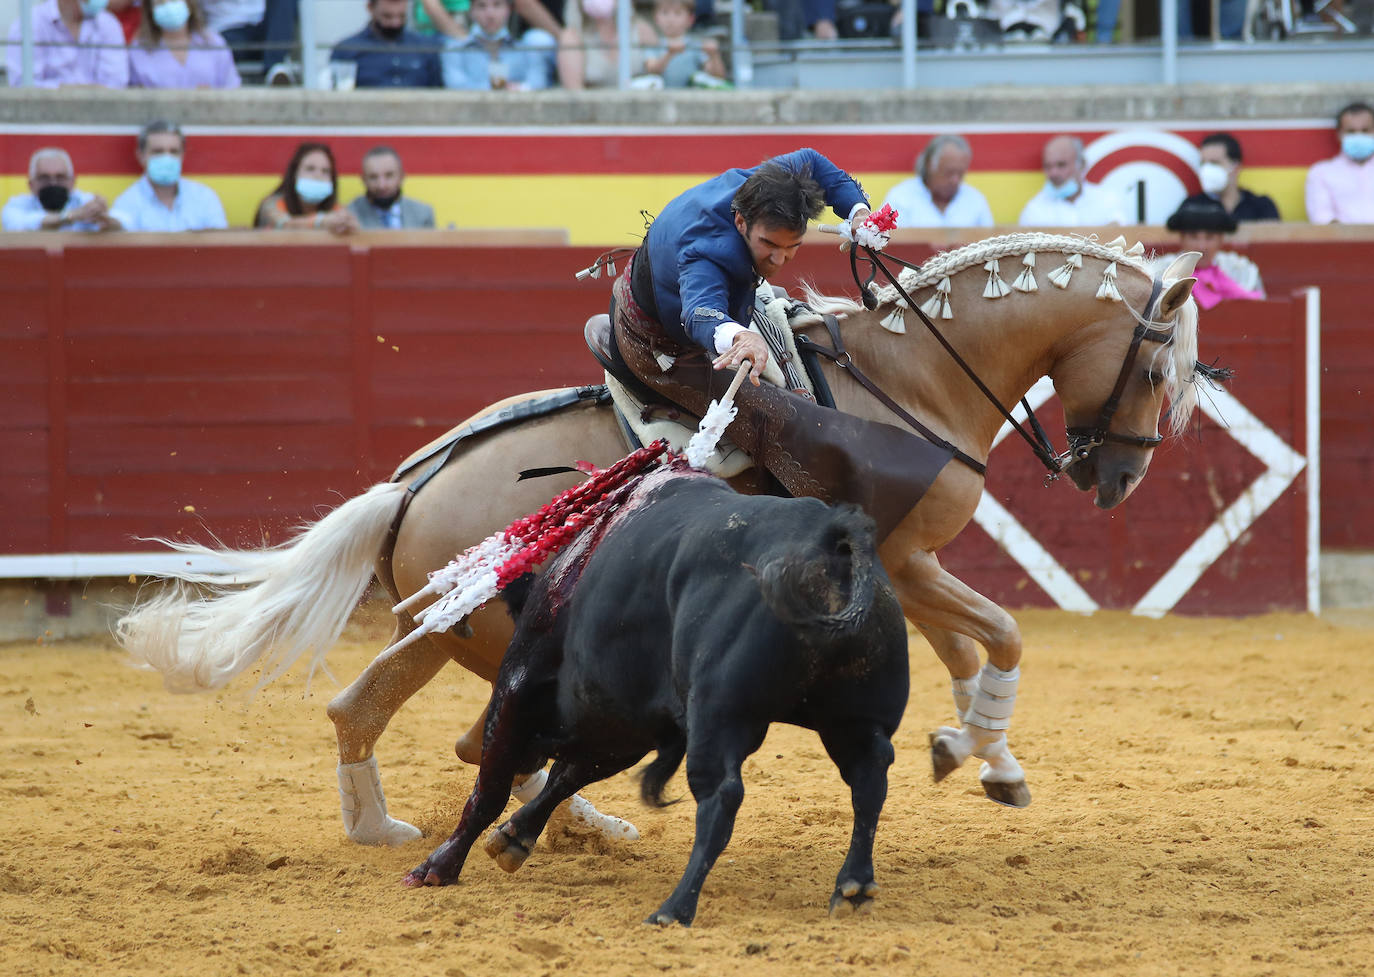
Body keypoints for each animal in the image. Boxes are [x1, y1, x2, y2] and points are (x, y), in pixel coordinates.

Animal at [118, 234, 1198, 846]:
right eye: (1156, 371)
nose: (1120, 477)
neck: (912, 380)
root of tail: (406, 488)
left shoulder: (911, 563)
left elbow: (969, 650)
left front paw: (978, 753)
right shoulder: (900, 560)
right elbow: (1000, 633)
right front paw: (982, 751)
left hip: (450, 632)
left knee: (414, 722)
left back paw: (529, 825)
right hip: (498, 634)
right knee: (446, 728)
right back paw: (420, 829)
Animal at [403, 467, 912, 923]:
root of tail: (830, 551)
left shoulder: (519, 687)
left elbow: (491, 788)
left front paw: (438, 868)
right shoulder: (625, 728)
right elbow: (566, 776)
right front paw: (513, 837)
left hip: (719, 717)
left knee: (723, 795)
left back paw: (675, 908)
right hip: (855, 721)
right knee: (869, 779)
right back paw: (853, 887)